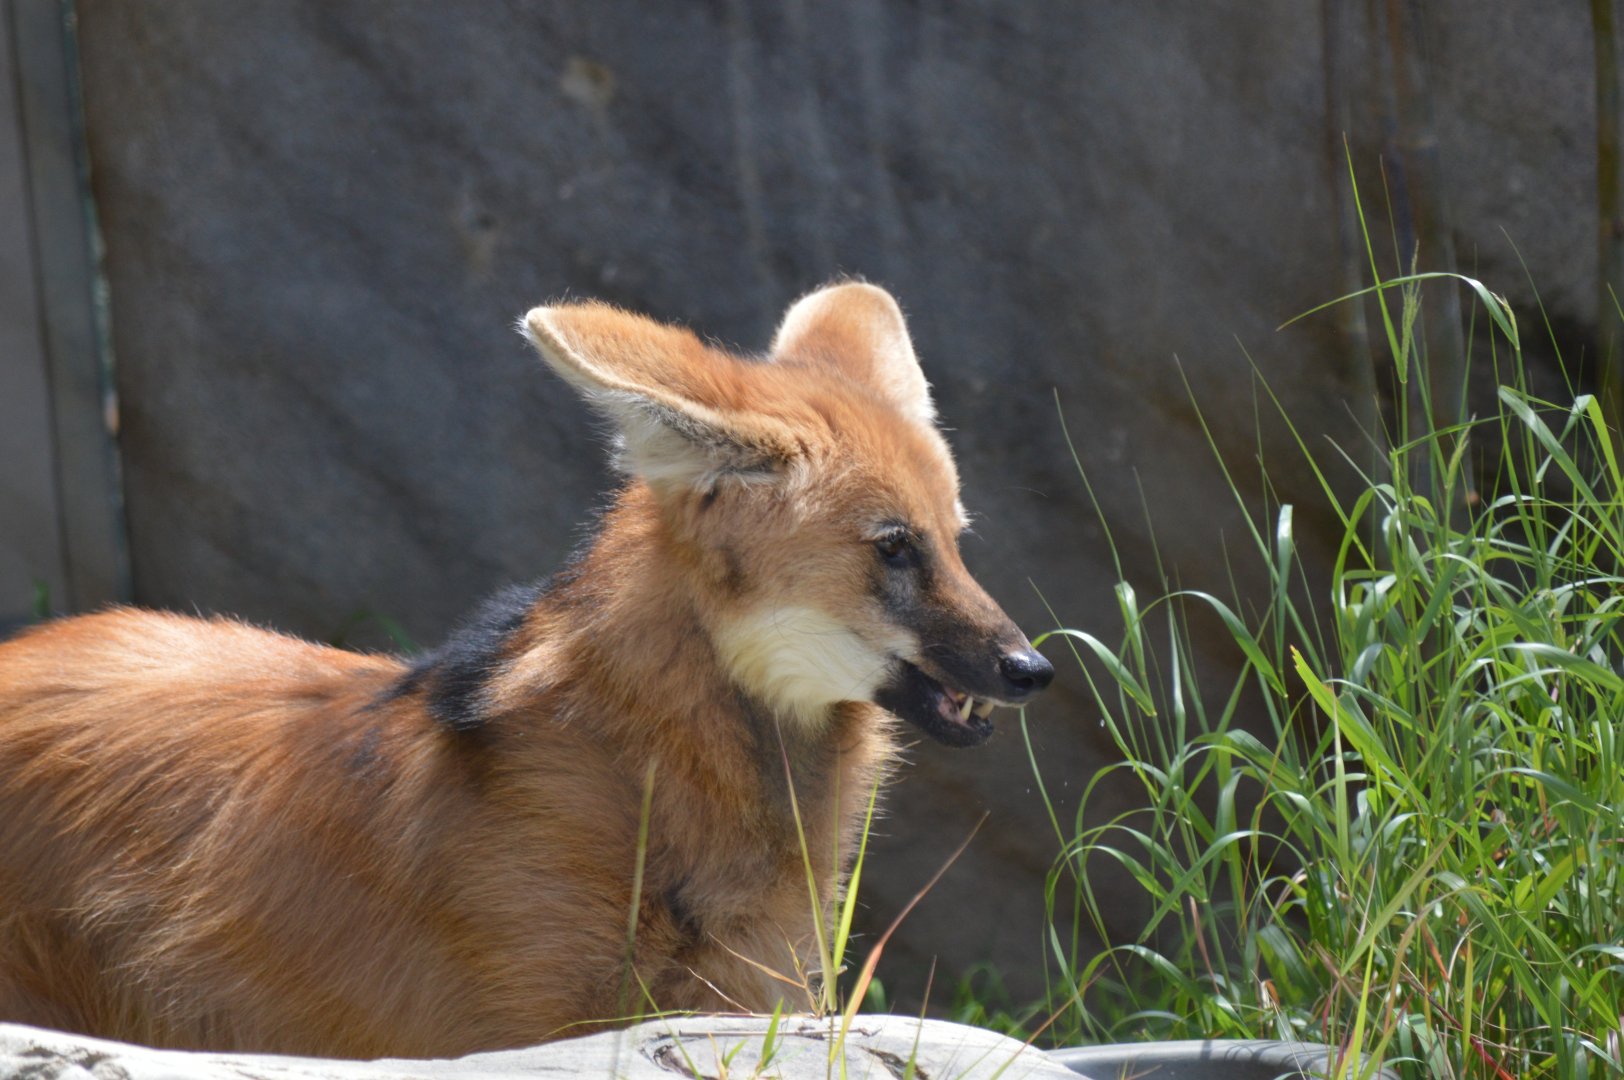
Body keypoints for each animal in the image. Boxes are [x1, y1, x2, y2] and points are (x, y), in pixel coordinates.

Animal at [0, 283, 1052, 1057]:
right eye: (894, 548)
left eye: (954, 540)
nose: (1030, 667)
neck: (663, 774)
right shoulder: (530, 1021)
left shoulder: (746, 998)